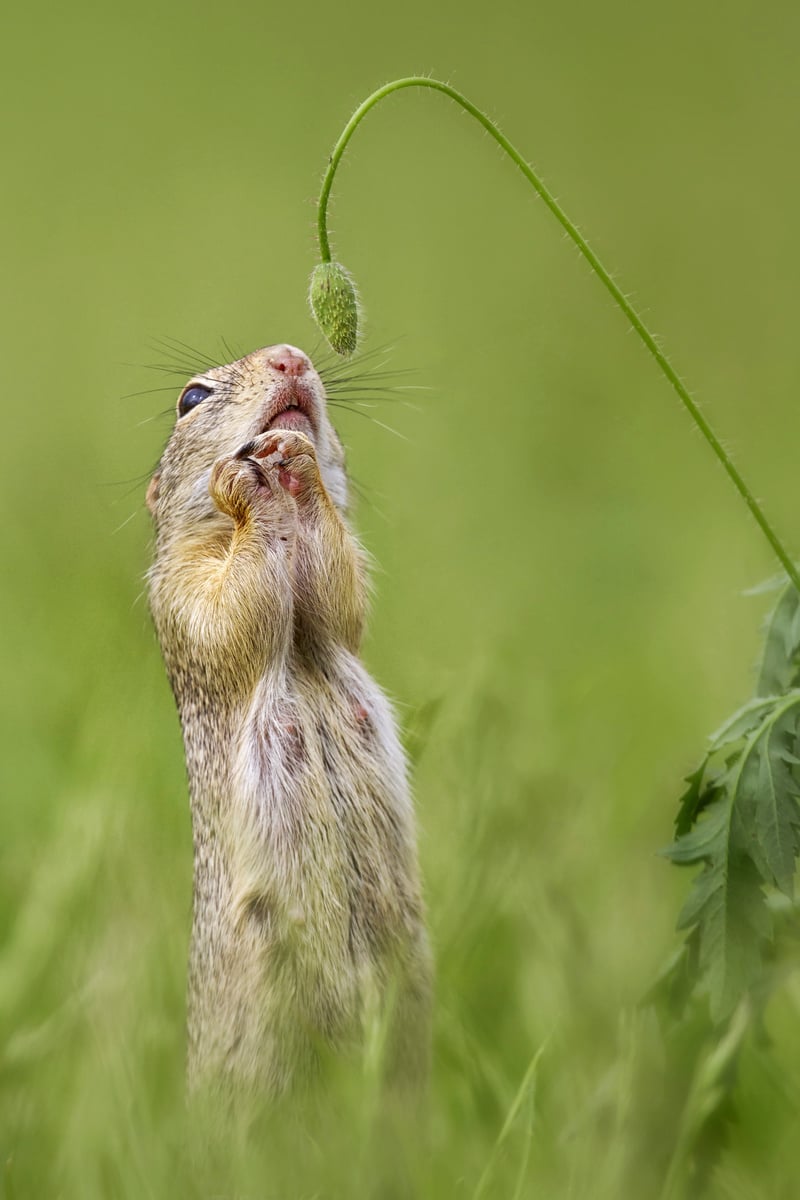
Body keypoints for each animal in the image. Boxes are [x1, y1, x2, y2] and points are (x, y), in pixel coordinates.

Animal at [143, 340, 431, 1099]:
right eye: (190, 398)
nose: (290, 354)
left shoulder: (334, 582)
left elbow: (339, 589)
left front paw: (295, 458)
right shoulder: (181, 586)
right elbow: (226, 610)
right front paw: (242, 480)